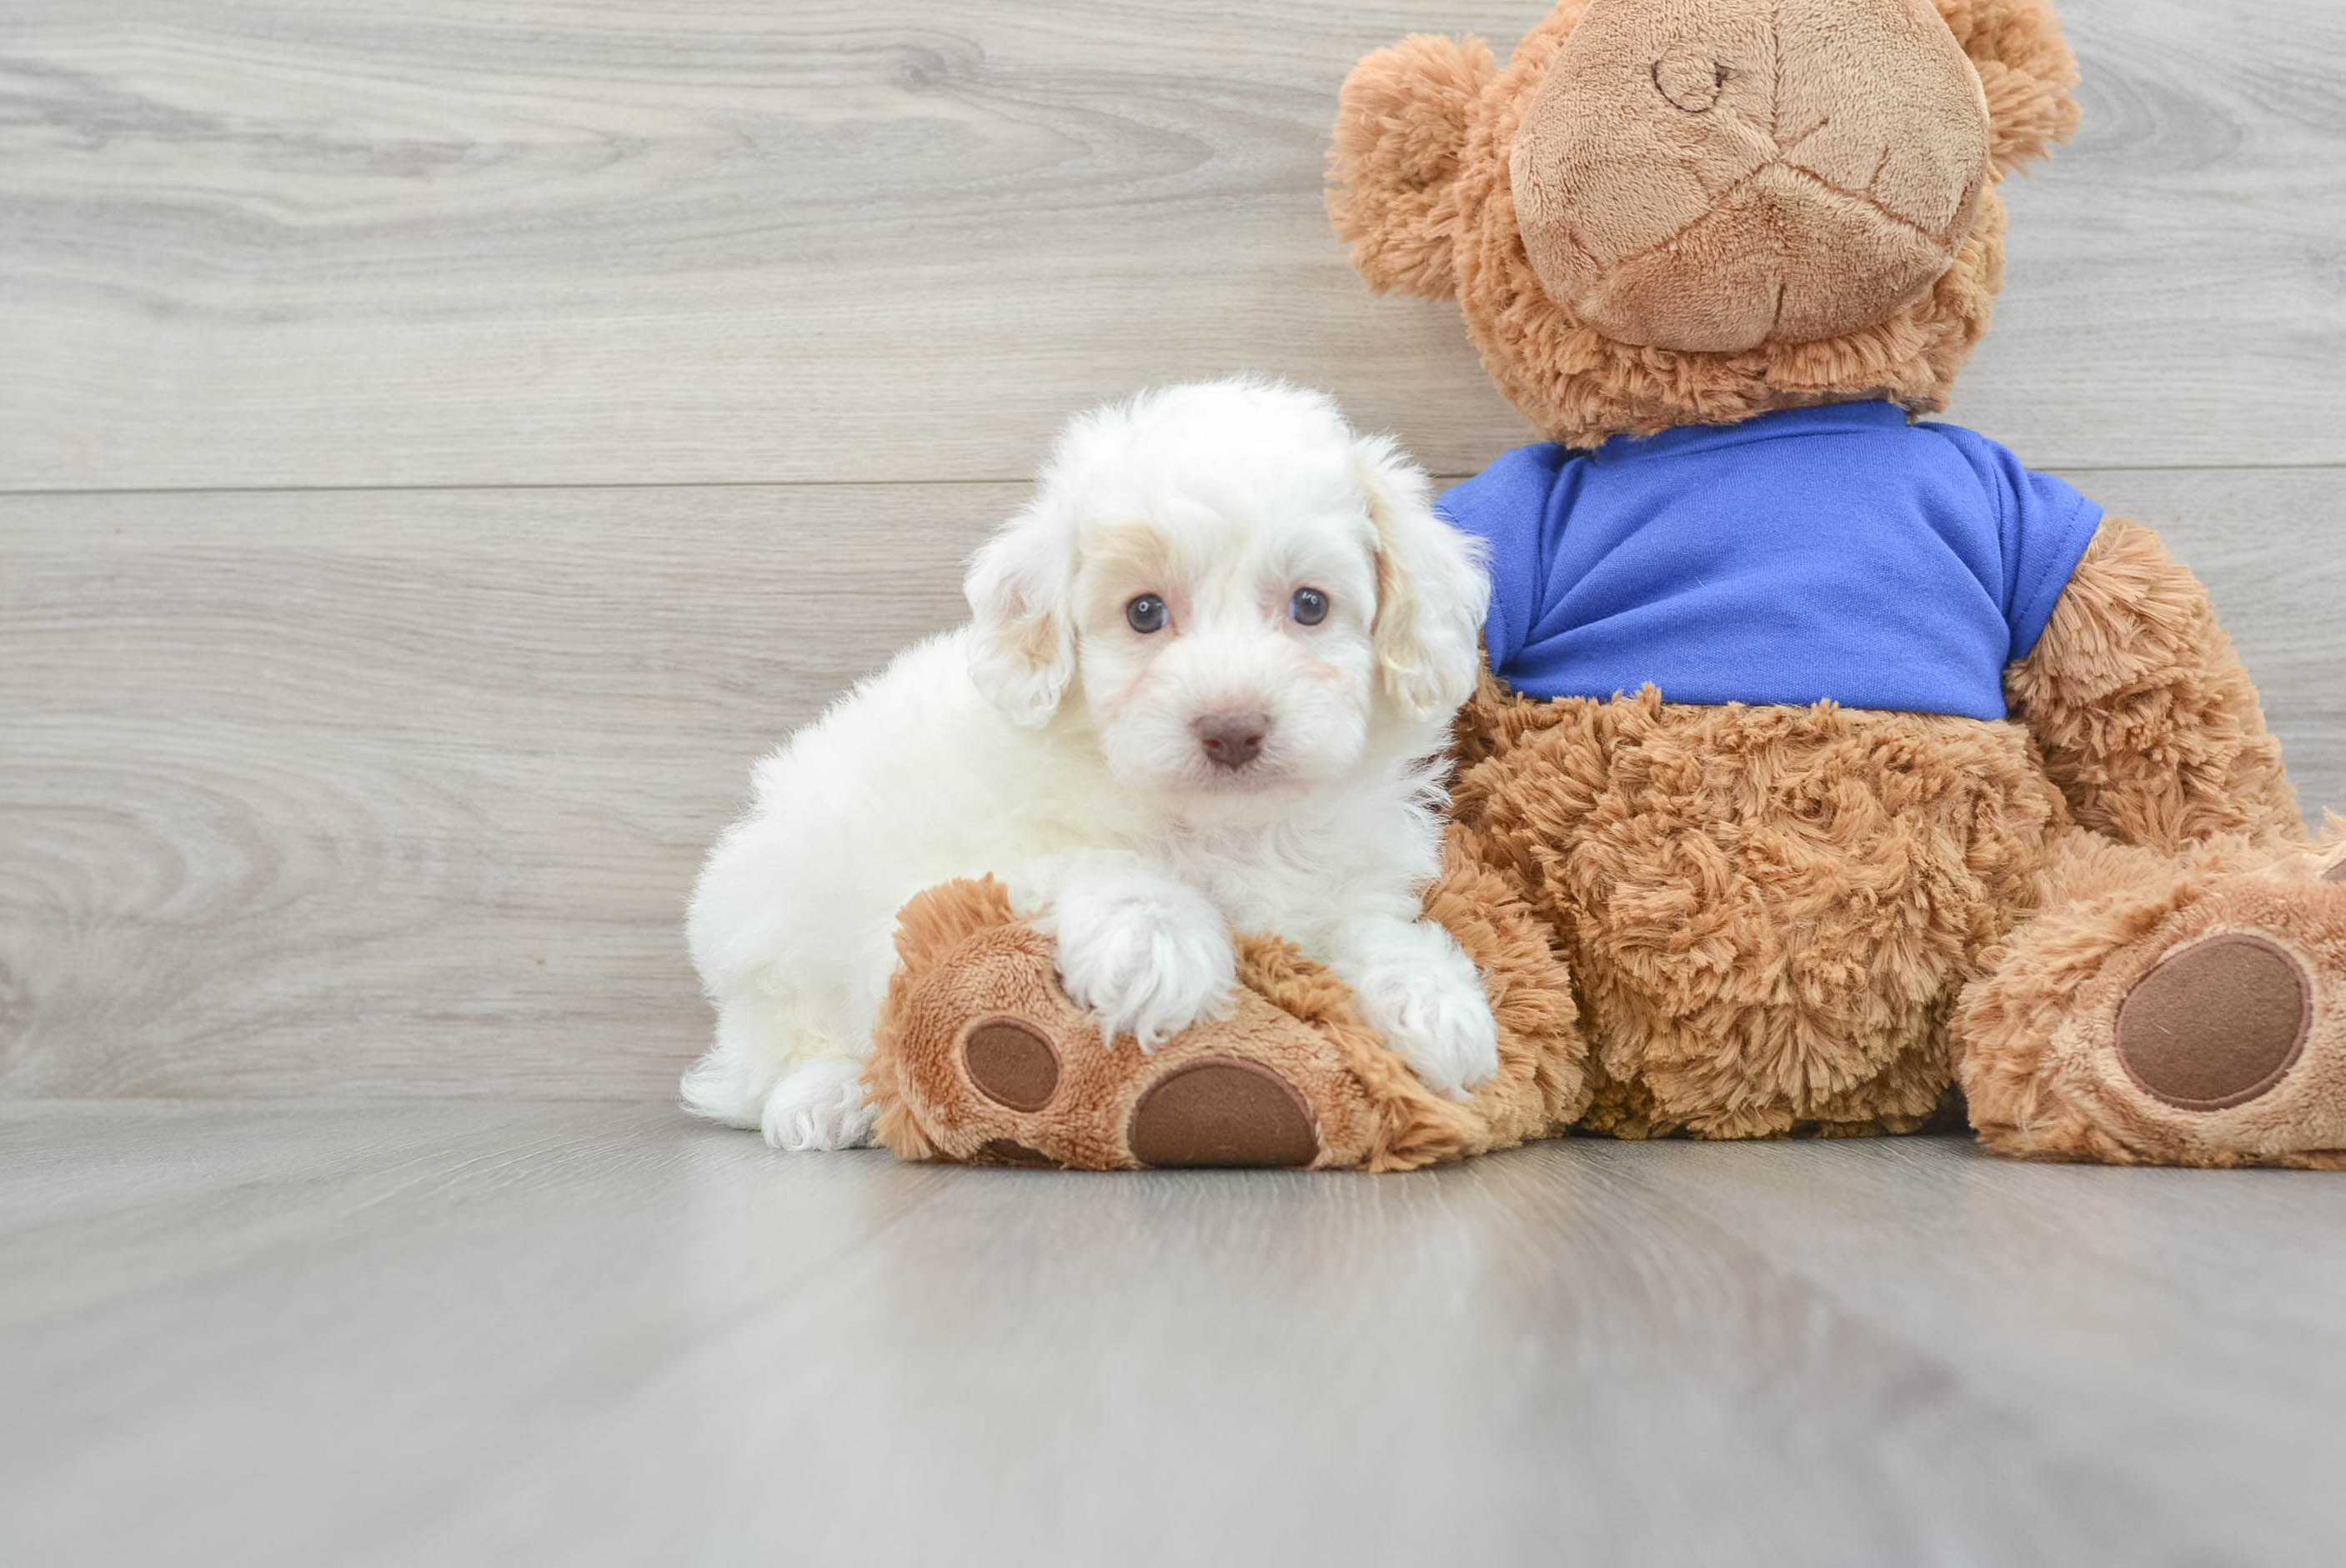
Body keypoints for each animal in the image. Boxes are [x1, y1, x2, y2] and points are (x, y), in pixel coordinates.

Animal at [680, 373, 1501, 1145]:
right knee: (772, 1050)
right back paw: (823, 1097)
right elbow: (1089, 857)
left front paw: (1432, 999)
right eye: (1144, 612)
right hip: (765, 917)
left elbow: (1366, 924)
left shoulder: (1342, 881)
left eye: (1310, 605)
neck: (1230, 826)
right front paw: (1156, 941)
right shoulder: (973, 864)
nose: (1232, 728)